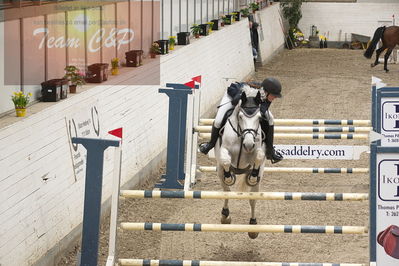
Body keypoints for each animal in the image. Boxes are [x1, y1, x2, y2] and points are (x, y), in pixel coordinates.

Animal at [214, 87, 268, 239]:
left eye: (259, 118)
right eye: (240, 117)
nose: (249, 145)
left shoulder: (257, 150)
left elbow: (259, 156)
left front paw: (253, 175)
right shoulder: (224, 150)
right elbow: (226, 160)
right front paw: (229, 176)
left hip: (257, 182)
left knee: (253, 198)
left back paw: (253, 226)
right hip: (219, 171)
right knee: (226, 191)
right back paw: (225, 216)